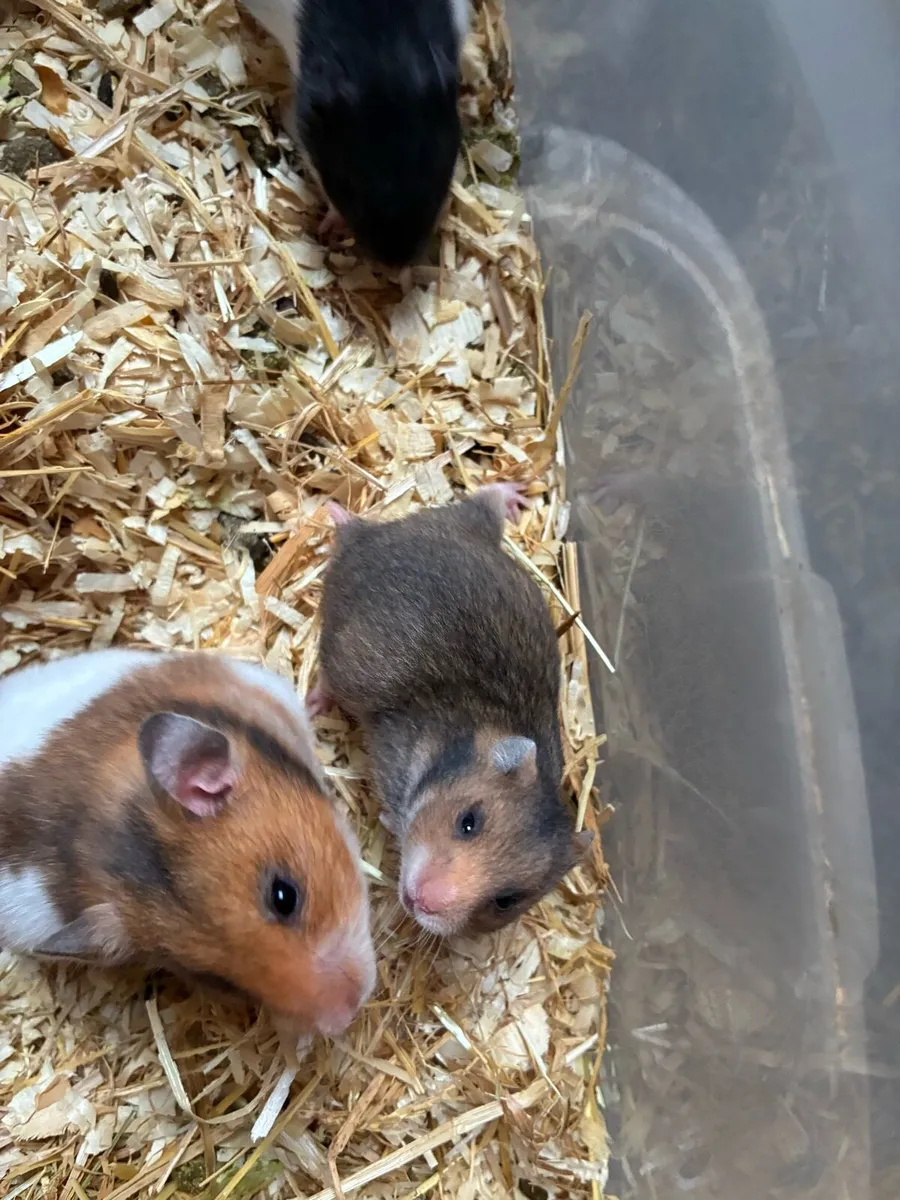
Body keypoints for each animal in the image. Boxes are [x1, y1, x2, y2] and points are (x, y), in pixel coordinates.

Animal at [310, 483, 593, 937]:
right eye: (469, 821)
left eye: (506, 900)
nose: (420, 901)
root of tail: (367, 539)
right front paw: (389, 820)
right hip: (345, 663)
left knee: (481, 503)